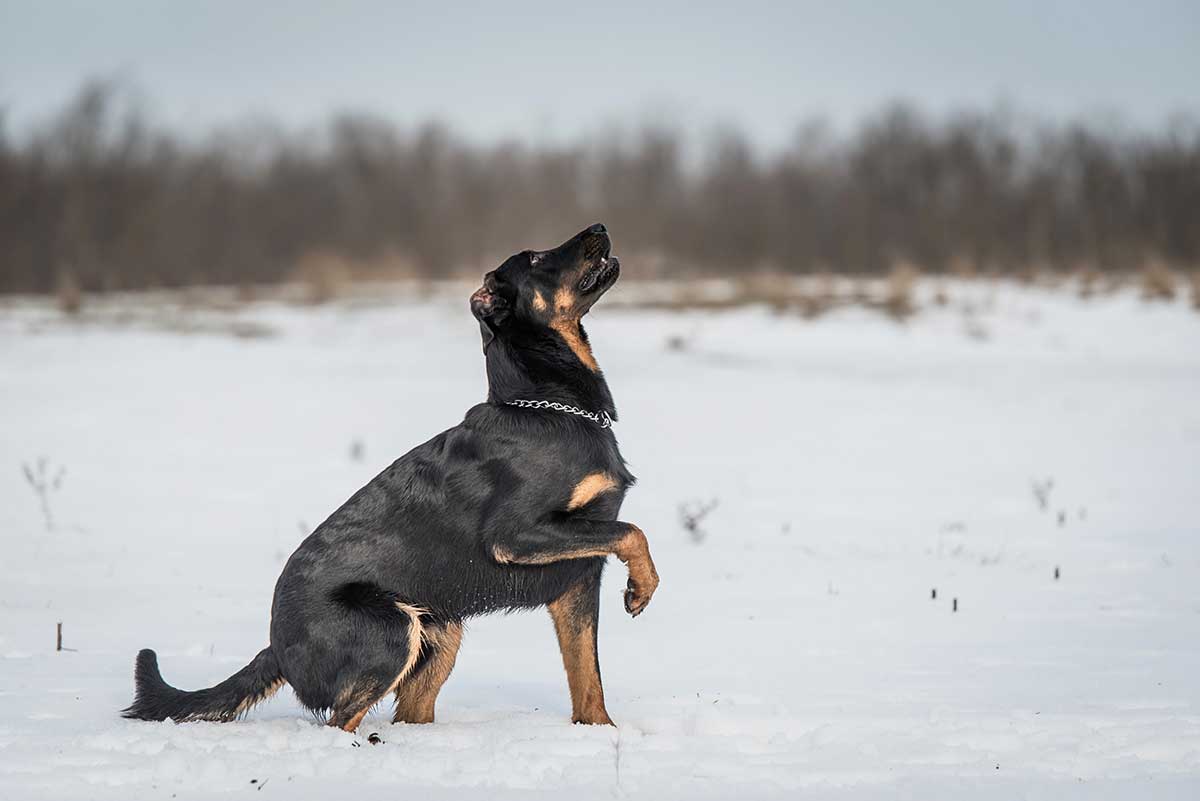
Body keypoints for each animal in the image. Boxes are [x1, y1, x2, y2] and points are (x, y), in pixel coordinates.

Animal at [124, 221, 657, 729]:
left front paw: (601, 731)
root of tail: (275, 645)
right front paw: (641, 591)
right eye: (535, 258)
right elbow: (632, 531)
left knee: (406, 713)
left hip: (440, 633)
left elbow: (588, 681)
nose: (599, 227)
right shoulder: (518, 534)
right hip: (392, 630)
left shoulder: (577, 583)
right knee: (340, 721)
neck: (549, 405)